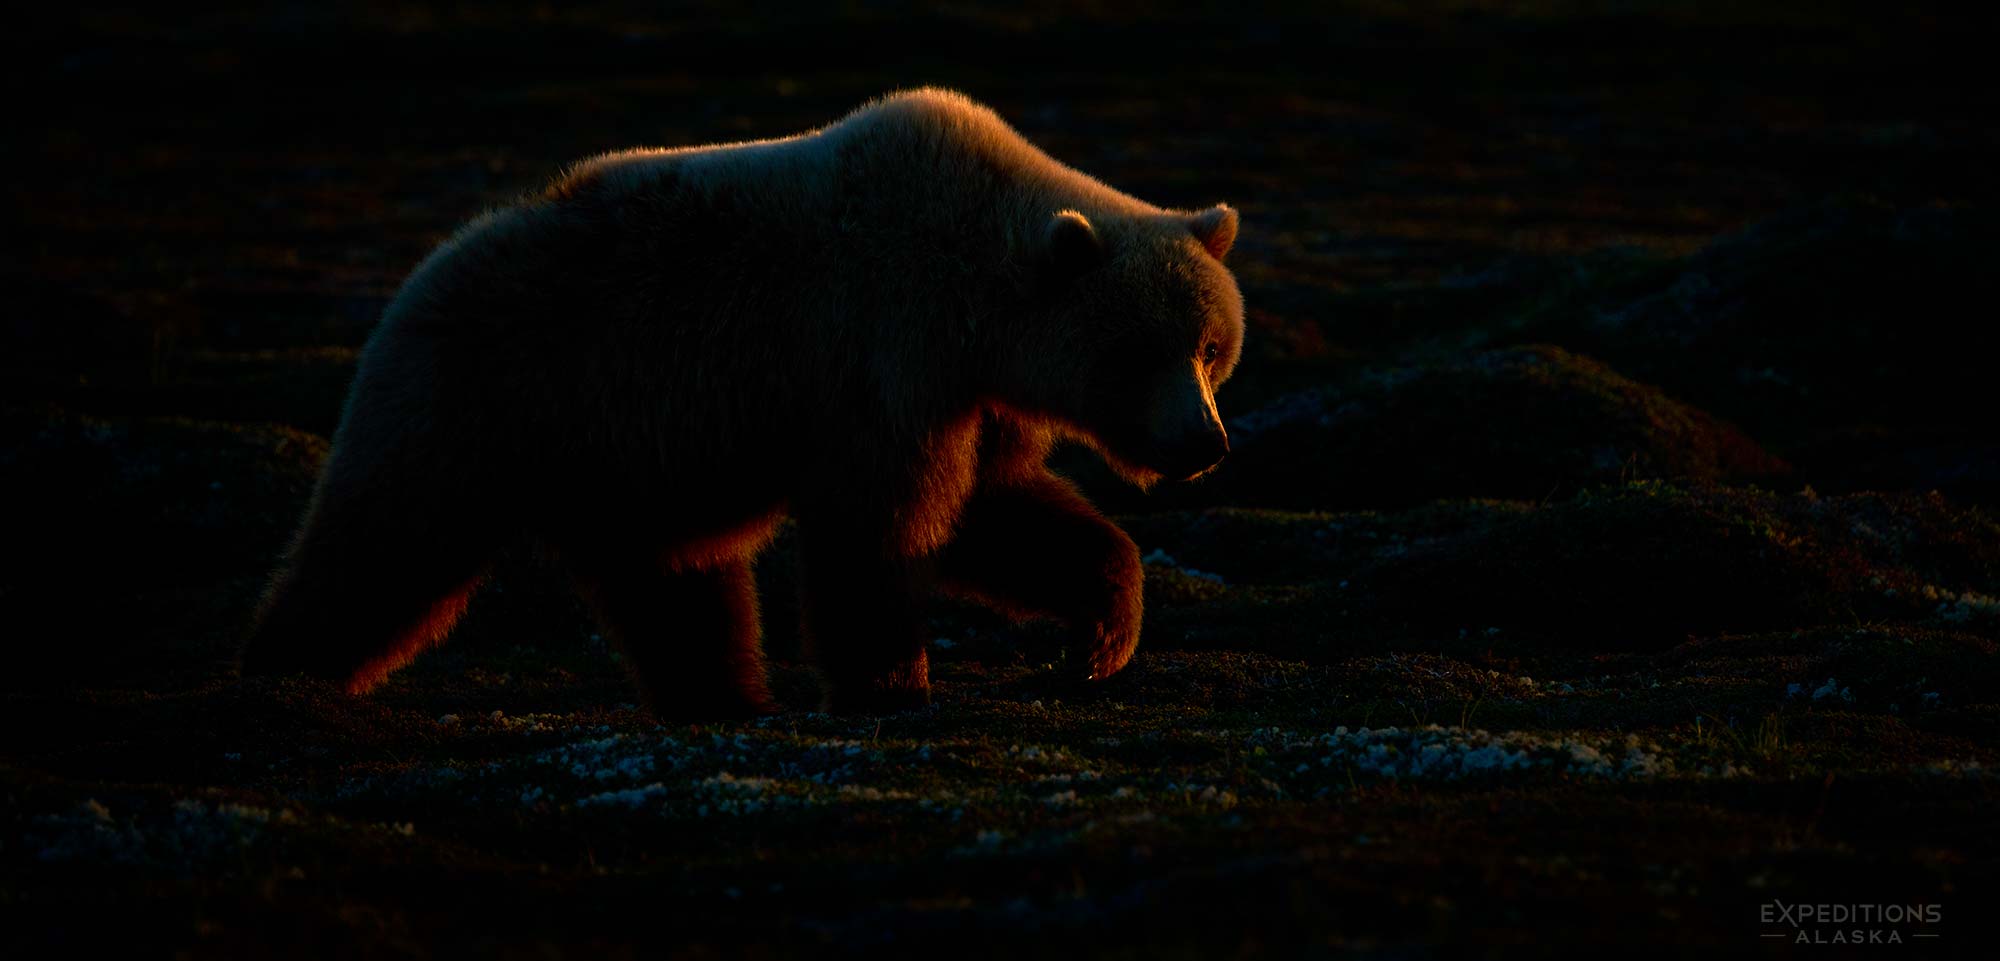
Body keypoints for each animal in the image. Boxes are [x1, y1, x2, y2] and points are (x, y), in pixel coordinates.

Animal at [238, 88, 1245, 716]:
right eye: (1140, 348)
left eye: (1211, 346)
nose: (1207, 442)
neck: (978, 299)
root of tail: (426, 268)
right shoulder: (882, 354)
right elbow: (882, 528)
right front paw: (890, 686)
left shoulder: (970, 398)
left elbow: (994, 513)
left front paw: (1100, 637)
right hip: (487, 393)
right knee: (385, 543)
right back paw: (281, 676)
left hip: (629, 459)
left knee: (678, 585)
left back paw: (725, 699)